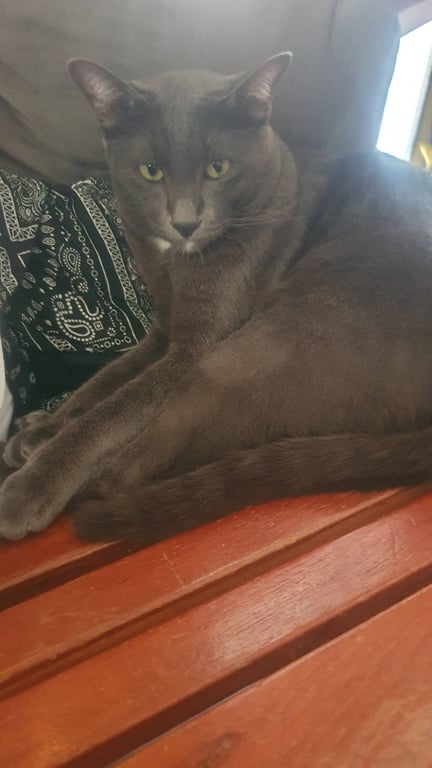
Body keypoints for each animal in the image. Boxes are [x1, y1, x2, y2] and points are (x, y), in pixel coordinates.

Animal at [2, 52, 432, 544]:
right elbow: (104, 381)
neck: (172, 264)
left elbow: (111, 413)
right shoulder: (164, 331)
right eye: (151, 171)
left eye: (218, 168)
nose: (185, 222)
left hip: (255, 348)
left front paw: (33, 482)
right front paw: (46, 426)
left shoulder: (192, 351)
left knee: (131, 470)